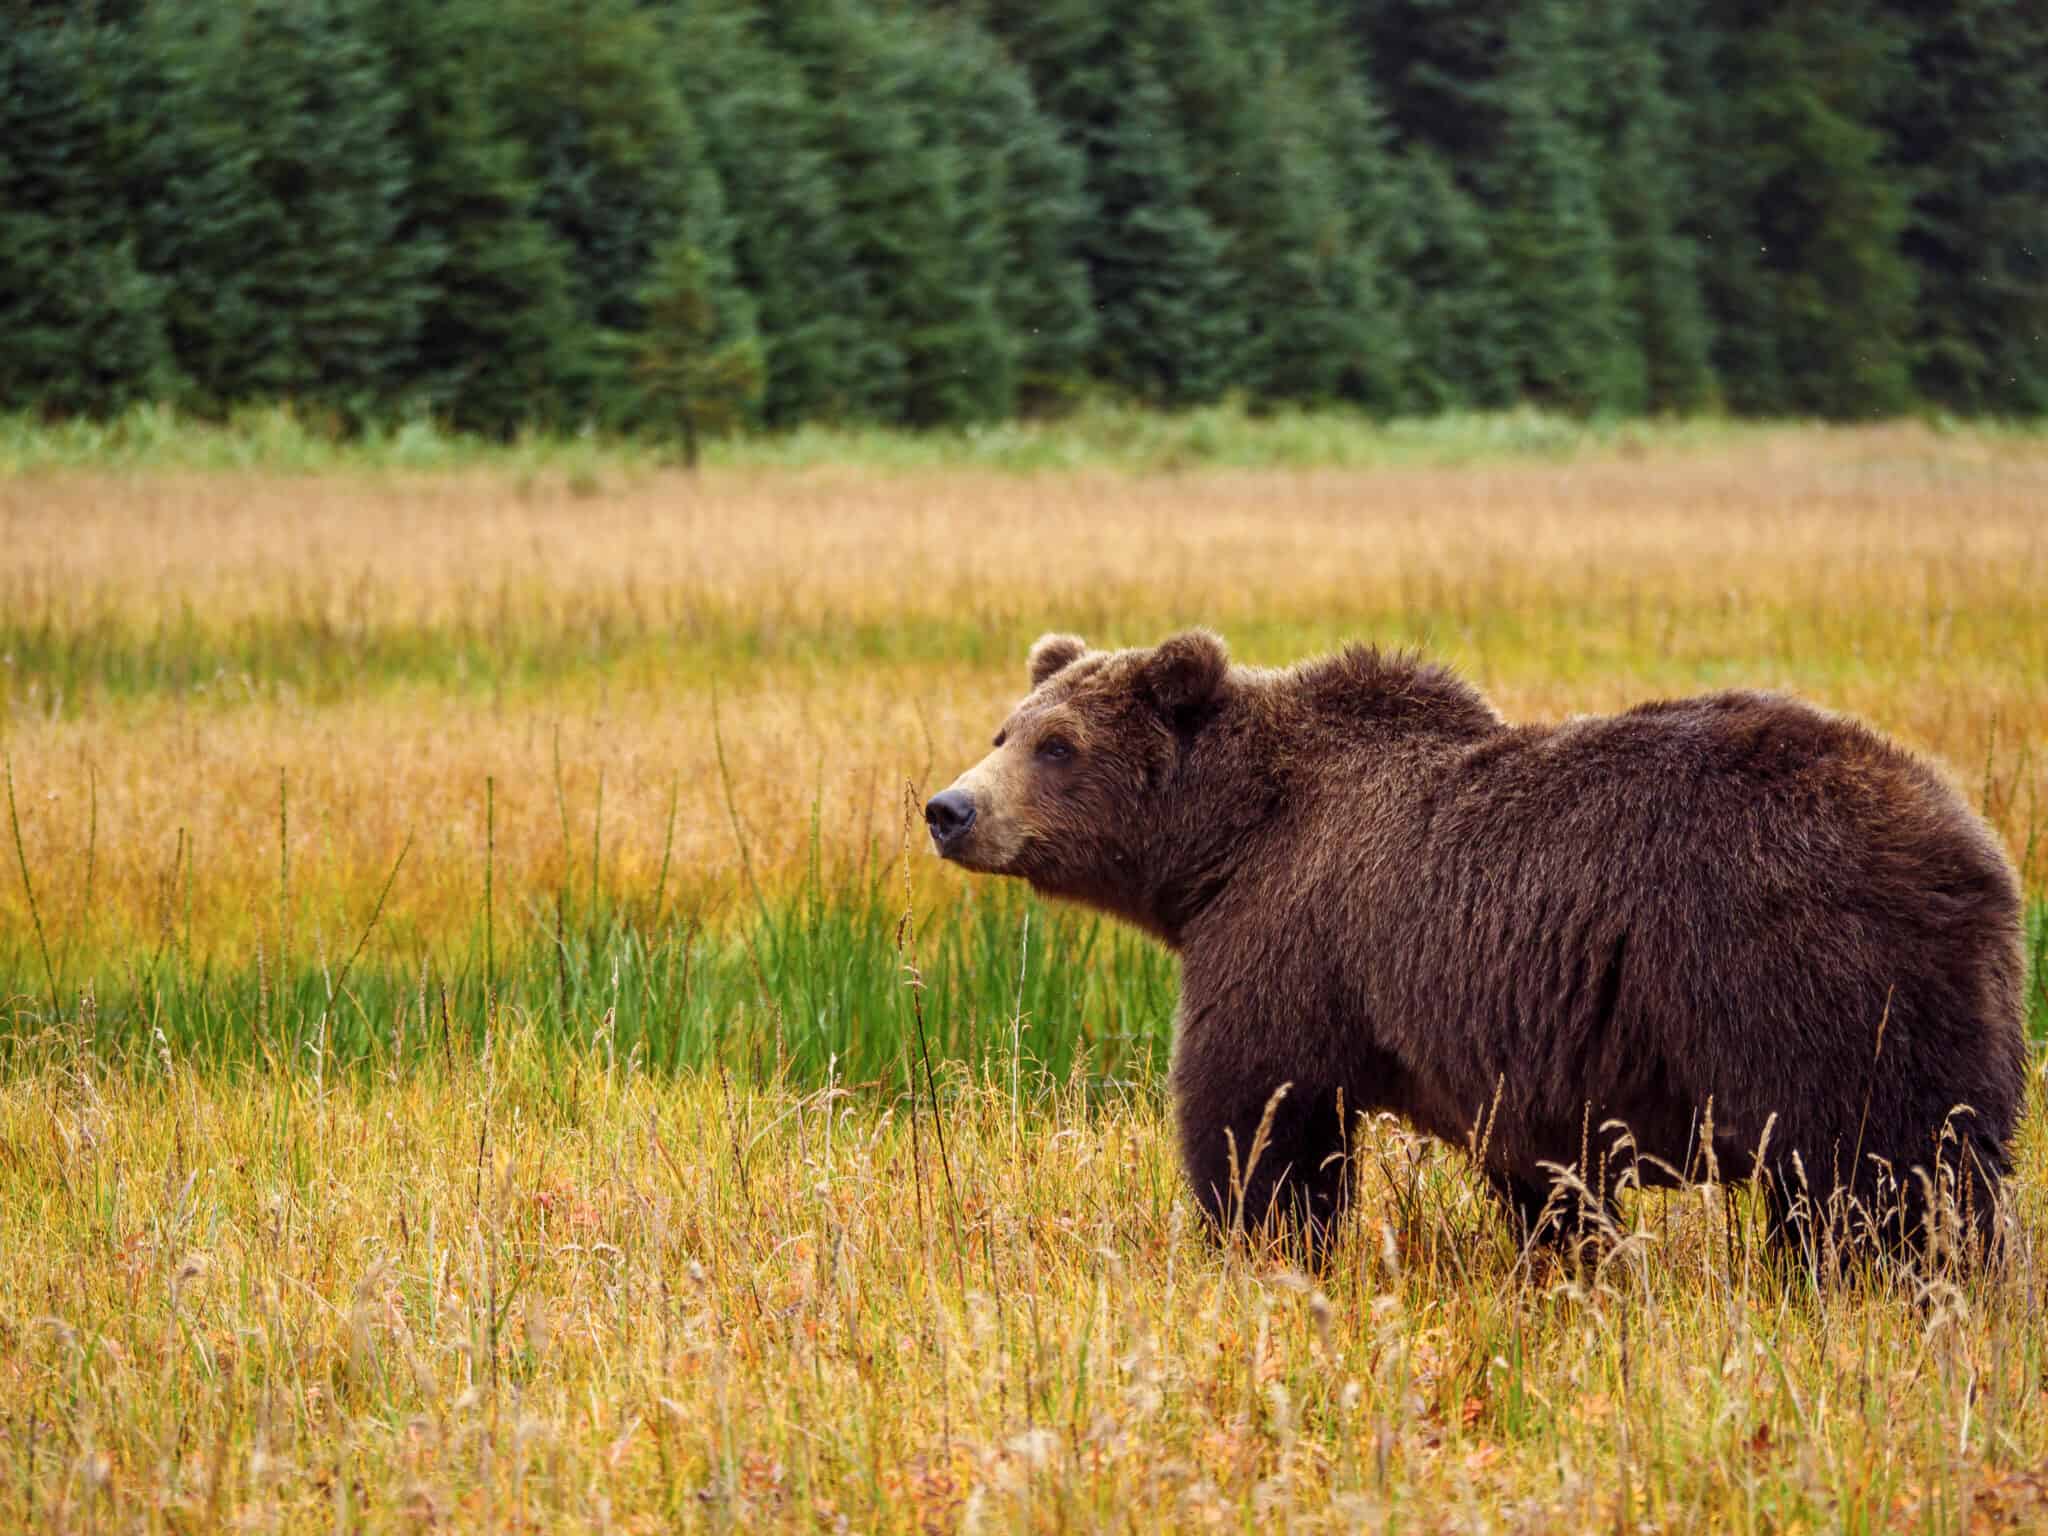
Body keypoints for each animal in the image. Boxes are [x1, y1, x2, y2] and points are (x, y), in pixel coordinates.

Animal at [933, 630, 2031, 1269]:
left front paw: (1254, 1242)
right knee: (1948, 1164)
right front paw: (1566, 1261)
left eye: (1059, 746)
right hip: (1950, 1003)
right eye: (1004, 731)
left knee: (1859, 1175)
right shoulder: (1521, 1068)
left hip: (1795, 976)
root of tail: (1965, 846)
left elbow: (1255, 1115)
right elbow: (1545, 1182)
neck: (1226, 845)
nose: (949, 809)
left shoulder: (1287, 941)